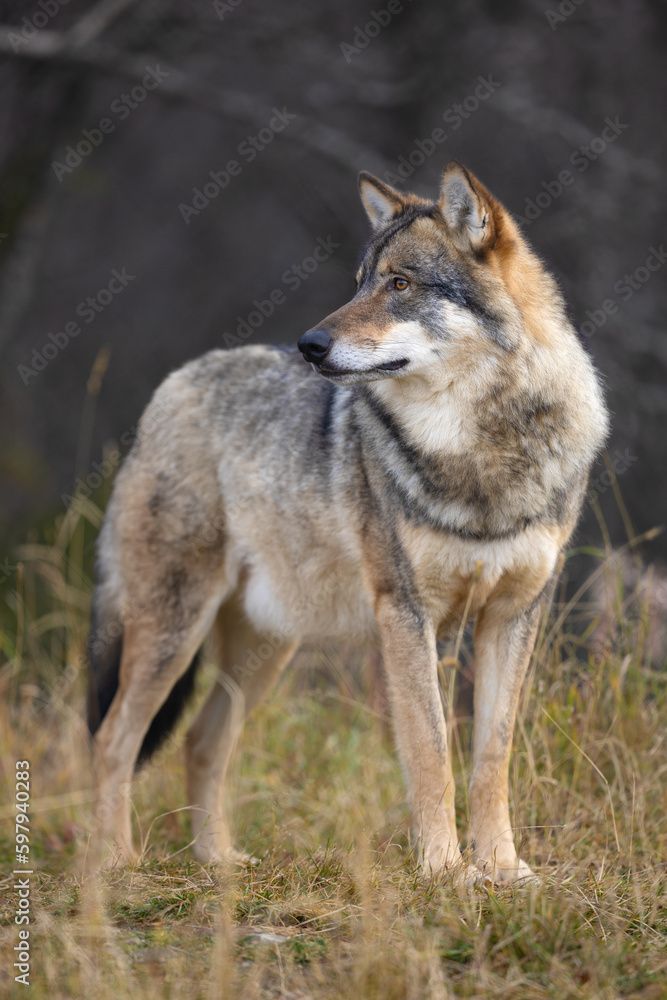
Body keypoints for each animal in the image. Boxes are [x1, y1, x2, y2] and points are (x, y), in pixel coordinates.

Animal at [87, 158, 612, 884]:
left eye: (399, 283)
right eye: (360, 281)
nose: (310, 344)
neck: (479, 454)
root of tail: (175, 383)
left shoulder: (513, 615)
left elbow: (490, 759)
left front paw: (503, 871)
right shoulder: (406, 615)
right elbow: (429, 754)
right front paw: (444, 870)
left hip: (263, 648)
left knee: (200, 740)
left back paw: (219, 862)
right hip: (176, 628)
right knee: (113, 739)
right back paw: (115, 863)